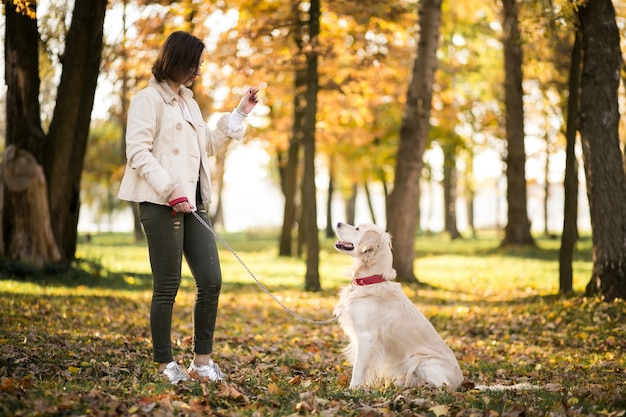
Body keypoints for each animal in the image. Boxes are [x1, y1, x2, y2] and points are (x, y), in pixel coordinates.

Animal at [332, 223, 464, 388]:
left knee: (442, 386)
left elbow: (358, 369)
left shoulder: (366, 338)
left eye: (357, 228)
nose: (338, 223)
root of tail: (461, 381)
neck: (371, 281)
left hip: (421, 360)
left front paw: (352, 389)